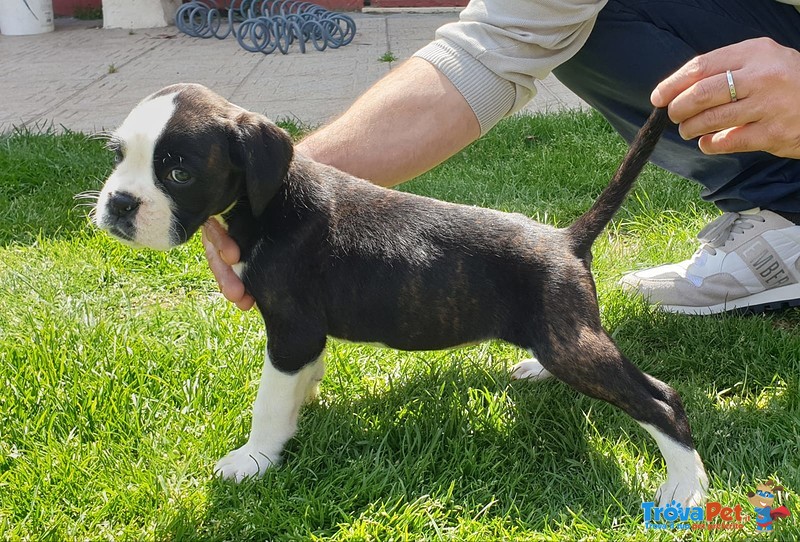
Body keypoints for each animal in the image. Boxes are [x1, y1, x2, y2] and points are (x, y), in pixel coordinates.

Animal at [98, 84, 708, 506]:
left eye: (178, 172)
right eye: (117, 155)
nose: (119, 204)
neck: (271, 200)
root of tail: (565, 239)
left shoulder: (292, 332)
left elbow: (269, 401)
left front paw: (255, 459)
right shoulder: (305, 339)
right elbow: (296, 385)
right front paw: (301, 409)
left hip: (575, 347)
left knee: (661, 400)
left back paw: (686, 485)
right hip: (566, 336)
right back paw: (538, 371)